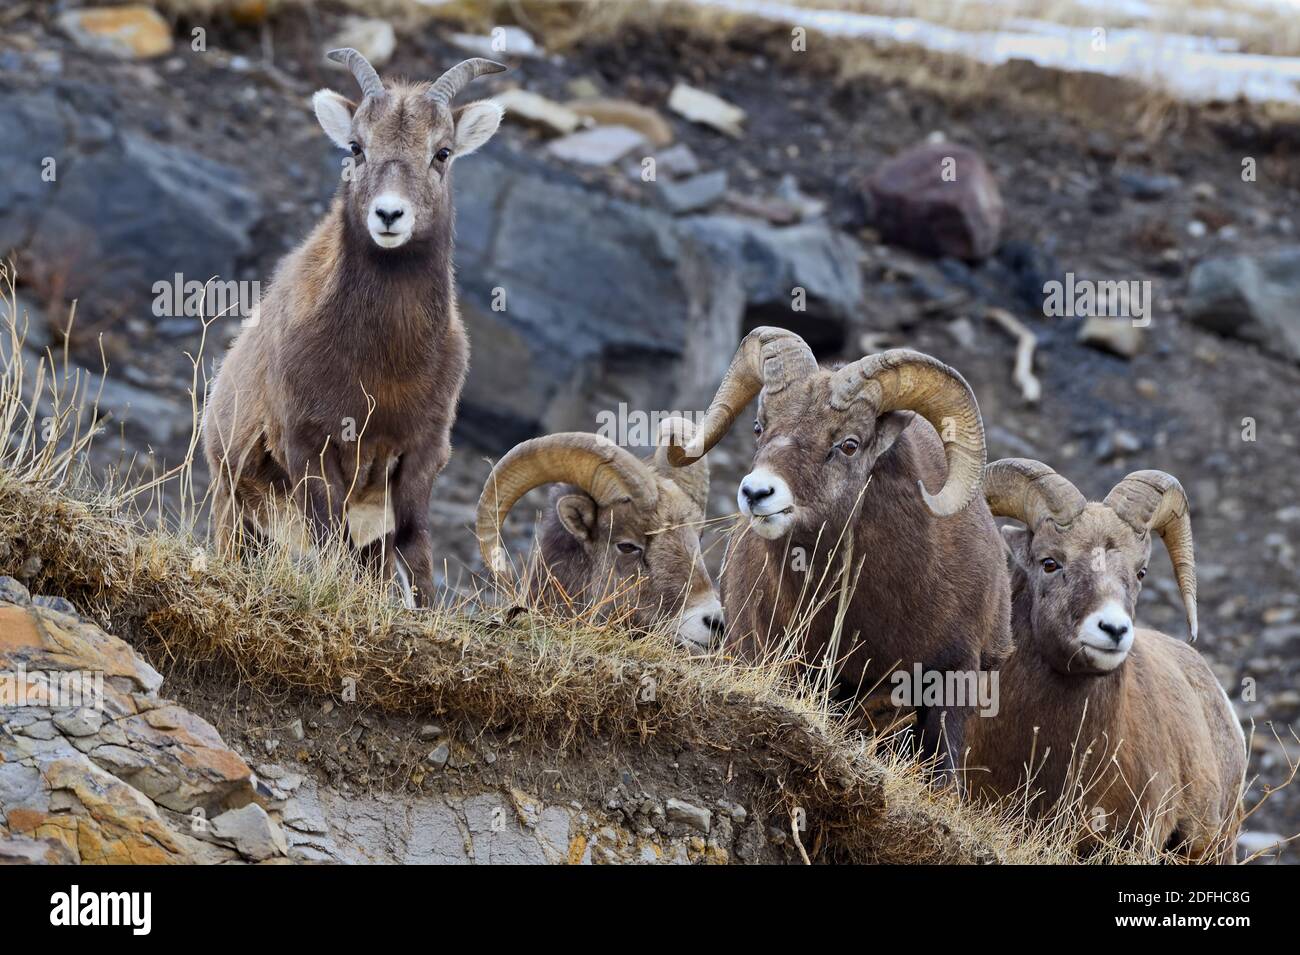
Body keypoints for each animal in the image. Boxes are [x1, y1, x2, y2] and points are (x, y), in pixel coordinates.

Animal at [203, 49, 505, 606]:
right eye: (356, 147)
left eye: (443, 153)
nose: (389, 215)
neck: (383, 369)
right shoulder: (310, 450)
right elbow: (332, 545)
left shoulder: (419, 456)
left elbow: (417, 550)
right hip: (235, 510)